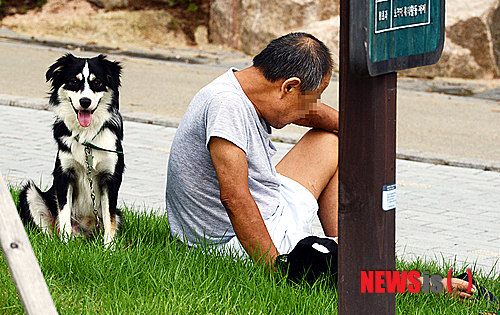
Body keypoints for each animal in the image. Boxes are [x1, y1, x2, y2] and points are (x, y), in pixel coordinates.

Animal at [19, 53, 125, 247]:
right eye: (74, 82)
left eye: (97, 82)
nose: (85, 102)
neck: (86, 135)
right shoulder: (64, 174)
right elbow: (64, 211)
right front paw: (65, 244)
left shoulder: (111, 178)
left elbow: (109, 217)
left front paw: (109, 248)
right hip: (29, 193)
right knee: (48, 230)